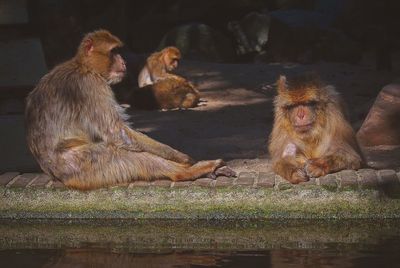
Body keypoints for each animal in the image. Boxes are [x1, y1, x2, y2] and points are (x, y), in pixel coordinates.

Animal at [25, 29, 233, 191]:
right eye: (114, 52)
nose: (123, 61)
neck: (84, 66)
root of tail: (54, 174)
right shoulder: (91, 86)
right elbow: (117, 132)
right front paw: (184, 159)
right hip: (80, 165)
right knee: (120, 154)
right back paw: (186, 172)